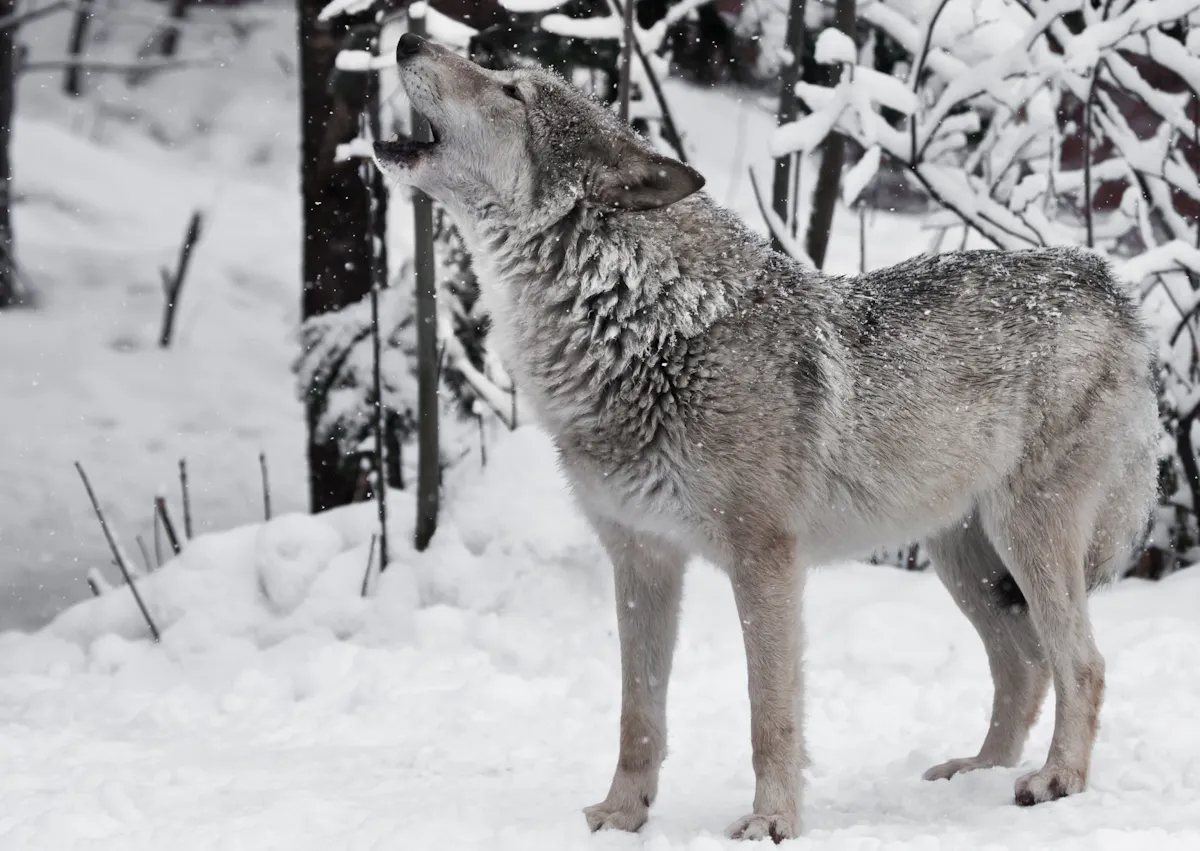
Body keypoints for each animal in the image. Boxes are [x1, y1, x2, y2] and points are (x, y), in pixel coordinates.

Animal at [373, 32, 1160, 842]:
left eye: (511, 91)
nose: (406, 38)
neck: (642, 325)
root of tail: (1106, 282)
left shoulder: (765, 561)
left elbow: (769, 714)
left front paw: (773, 821)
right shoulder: (640, 561)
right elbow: (637, 717)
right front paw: (622, 816)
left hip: (1024, 537)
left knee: (1082, 662)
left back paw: (1057, 779)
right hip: (964, 560)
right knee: (1024, 667)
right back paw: (978, 772)